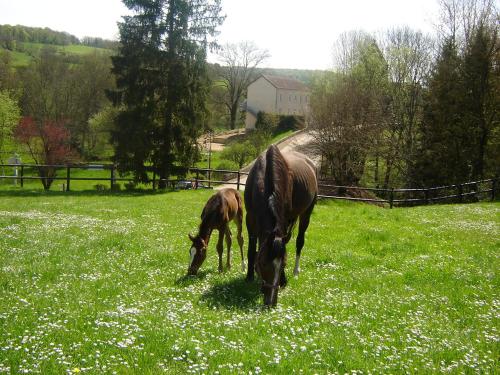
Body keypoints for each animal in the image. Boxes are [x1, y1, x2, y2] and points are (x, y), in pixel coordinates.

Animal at [245, 145, 316, 306]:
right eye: (263, 264)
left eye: (283, 264)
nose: (271, 302)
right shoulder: (250, 218)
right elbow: (252, 249)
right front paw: (249, 276)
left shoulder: (284, 219)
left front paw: (283, 280)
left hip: (306, 213)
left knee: (299, 241)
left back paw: (296, 271)